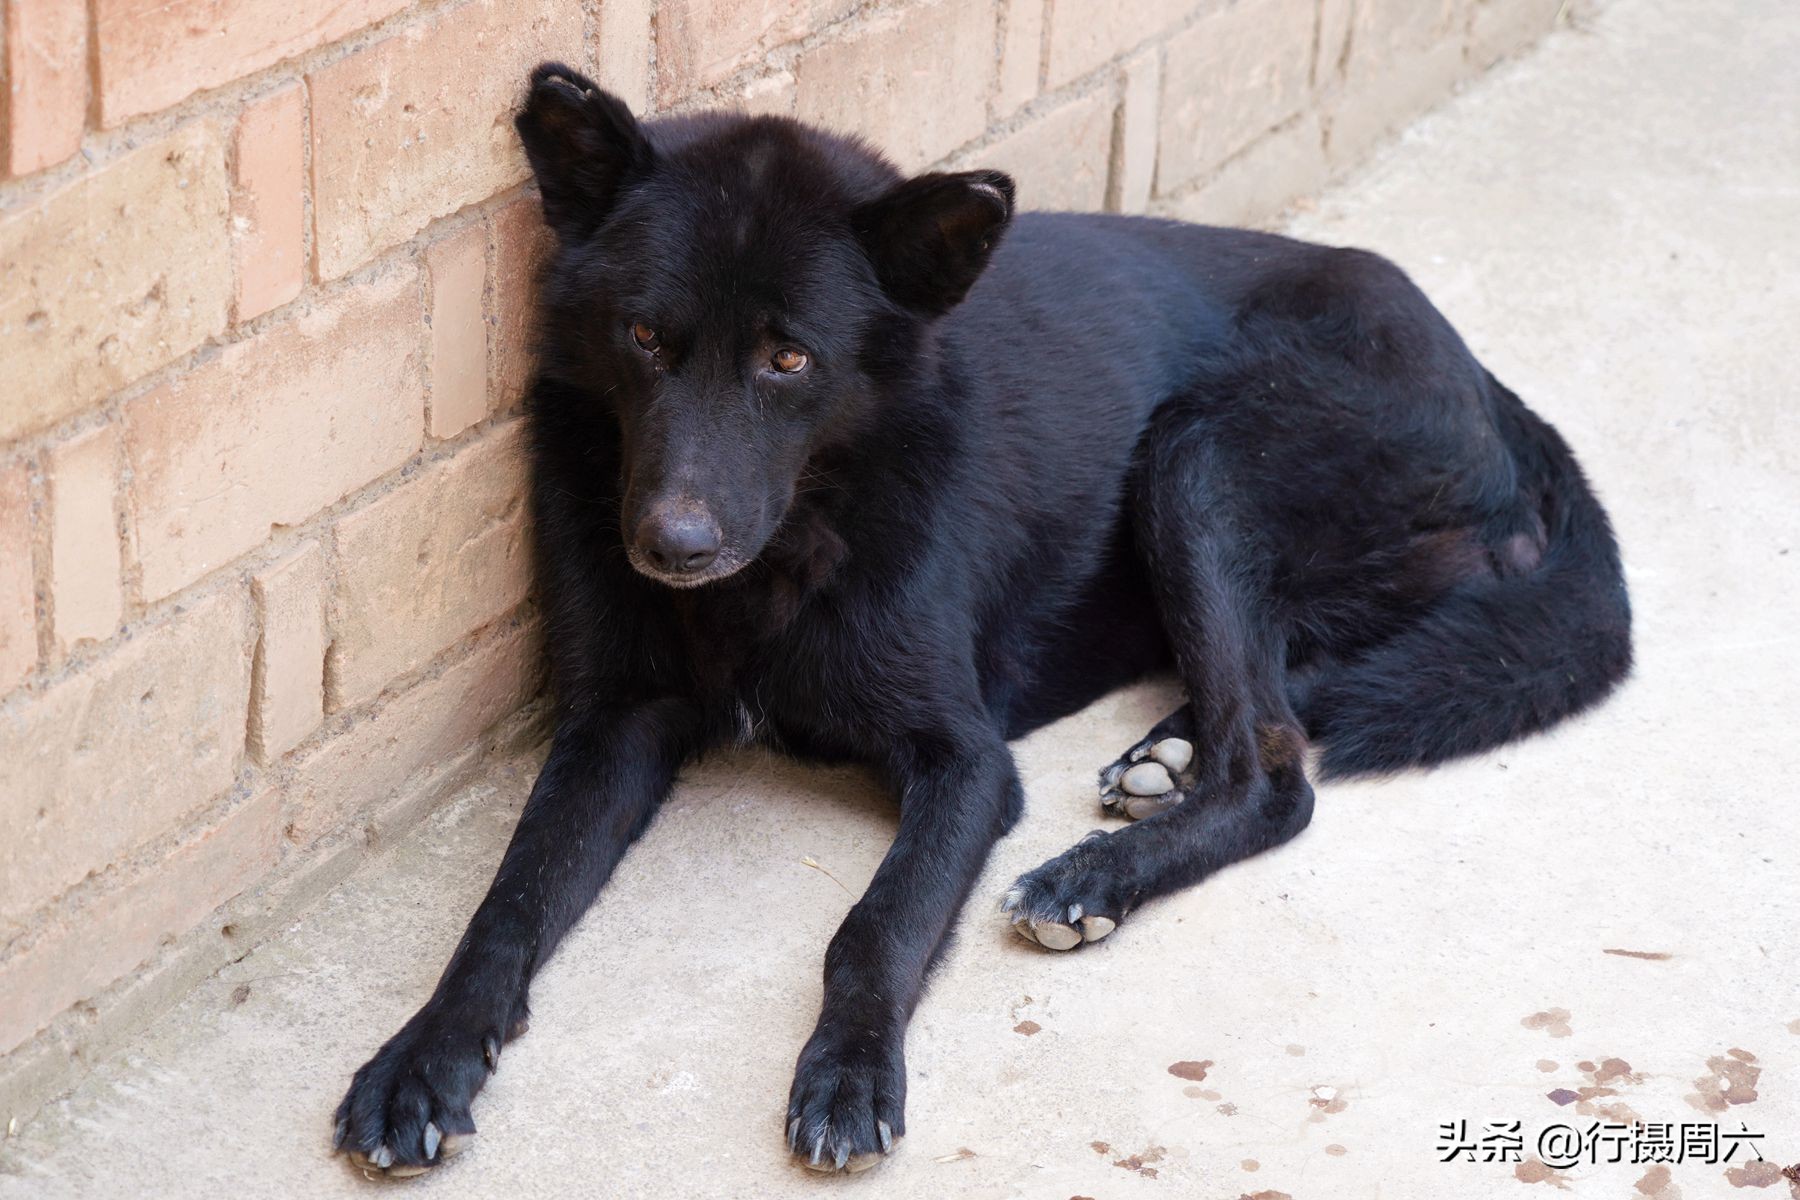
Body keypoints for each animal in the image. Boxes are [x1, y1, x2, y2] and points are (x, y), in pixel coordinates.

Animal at [334, 63, 1634, 1173]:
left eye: (789, 360)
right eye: (644, 337)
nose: (672, 548)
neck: (798, 543)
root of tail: (1487, 384)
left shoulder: (965, 762)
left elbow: (875, 924)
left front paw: (850, 1072)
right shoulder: (613, 725)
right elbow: (507, 900)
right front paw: (424, 1058)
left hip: (1198, 453)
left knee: (1275, 767)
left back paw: (1097, 875)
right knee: (1280, 692)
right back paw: (1163, 754)